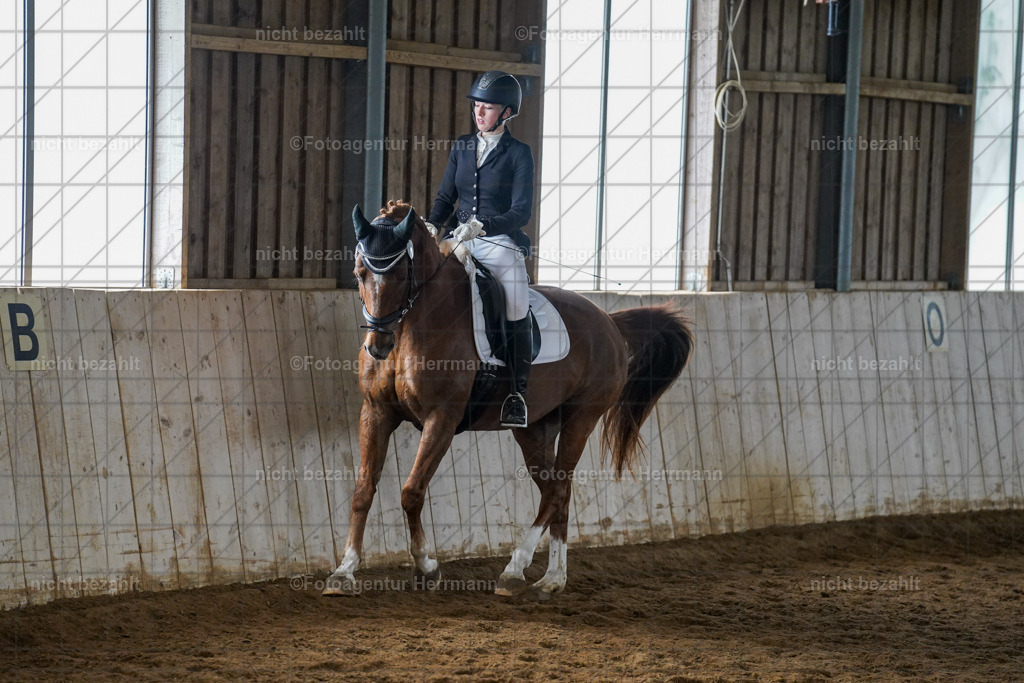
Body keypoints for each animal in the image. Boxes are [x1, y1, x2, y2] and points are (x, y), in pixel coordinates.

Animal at [323, 200, 694, 597]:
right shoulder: (376, 412)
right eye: (360, 273)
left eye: (400, 276)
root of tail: (608, 321)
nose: (378, 346)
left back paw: (515, 569)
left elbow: (412, 491)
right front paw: (344, 571)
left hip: (582, 418)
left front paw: (426, 566)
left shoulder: (442, 418)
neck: (417, 324)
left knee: (557, 490)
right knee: (558, 491)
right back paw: (552, 578)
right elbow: (363, 489)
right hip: (535, 428)